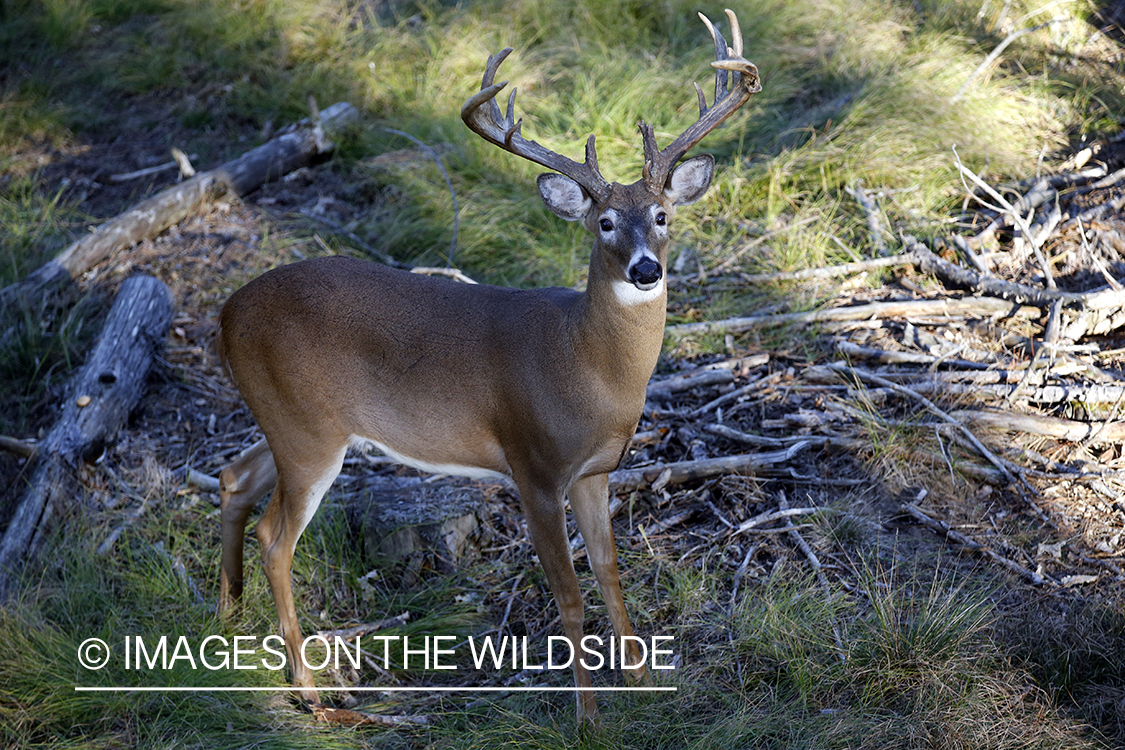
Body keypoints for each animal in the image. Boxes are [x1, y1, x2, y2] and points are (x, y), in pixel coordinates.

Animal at [214, 10, 760, 728]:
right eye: (604, 222)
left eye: (663, 215)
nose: (646, 269)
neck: (588, 368)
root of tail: (225, 314)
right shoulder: (532, 465)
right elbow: (569, 595)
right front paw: (588, 718)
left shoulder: (596, 471)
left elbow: (611, 573)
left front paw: (641, 681)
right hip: (307, 431)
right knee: (276, 537)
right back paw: (313, 694)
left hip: (292, 417)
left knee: (234, 477)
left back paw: (225, 618)